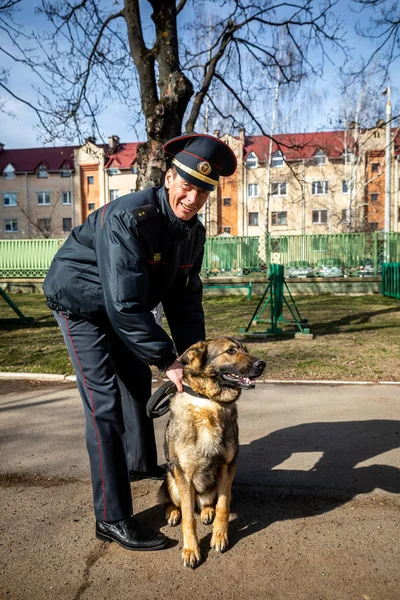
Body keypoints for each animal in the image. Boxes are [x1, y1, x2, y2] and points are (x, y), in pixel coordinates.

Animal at [159, 338, 266, 568]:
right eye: (230, 351)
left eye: (246, 350)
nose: (262, 364)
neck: (209, 403)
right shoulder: (183, 474)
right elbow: (189, 518)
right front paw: (191, 549)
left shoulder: (228, 468)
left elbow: (223, 507)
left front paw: (219, 536)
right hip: (172, 480)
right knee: (173, 502)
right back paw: (173, 513)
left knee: (209, 503)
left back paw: (207, 511)